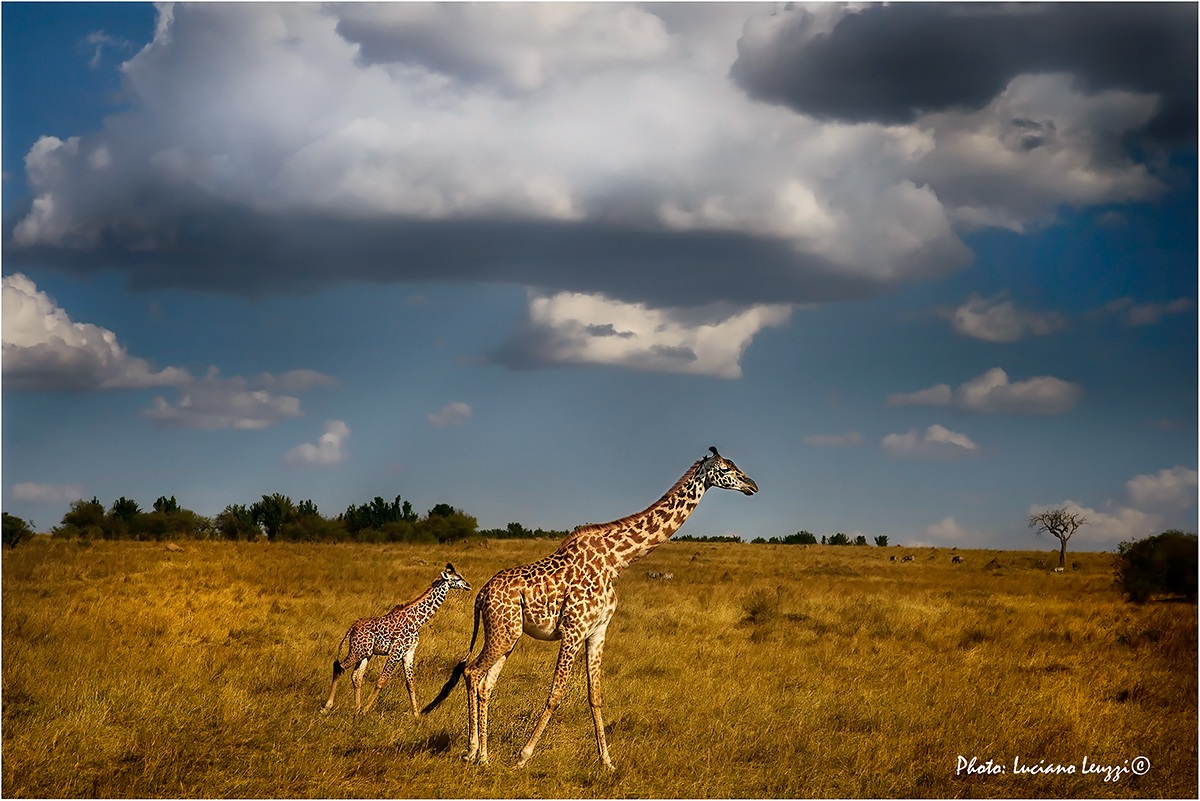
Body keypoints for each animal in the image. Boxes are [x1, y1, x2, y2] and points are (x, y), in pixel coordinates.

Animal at [323, 563, 471, 717]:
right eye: (457, 578)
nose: (468, 585)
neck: (418, 621)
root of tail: (352, 627)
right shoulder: (397, 650)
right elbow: (382, 680)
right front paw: (365, 710)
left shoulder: (409, 652)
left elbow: (410, 684)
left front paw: (416, 715)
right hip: (358, 651)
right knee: (339, 667)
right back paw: (328, 707)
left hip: (366, 653)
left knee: (356, 676)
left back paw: (356, 709)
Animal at [423, 447, 757, 770]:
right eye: (725, 468)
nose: (752, 486)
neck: (617, 560)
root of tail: (480, 595)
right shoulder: (573, 629)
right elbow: (555, 694)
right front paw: (523, 756)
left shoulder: (598, 630)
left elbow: (595, 696)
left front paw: (607, 762)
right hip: (502, 634)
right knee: (471, 671)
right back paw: (471, 752)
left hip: (508, 635)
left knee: (485, 684)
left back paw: (484, 756)